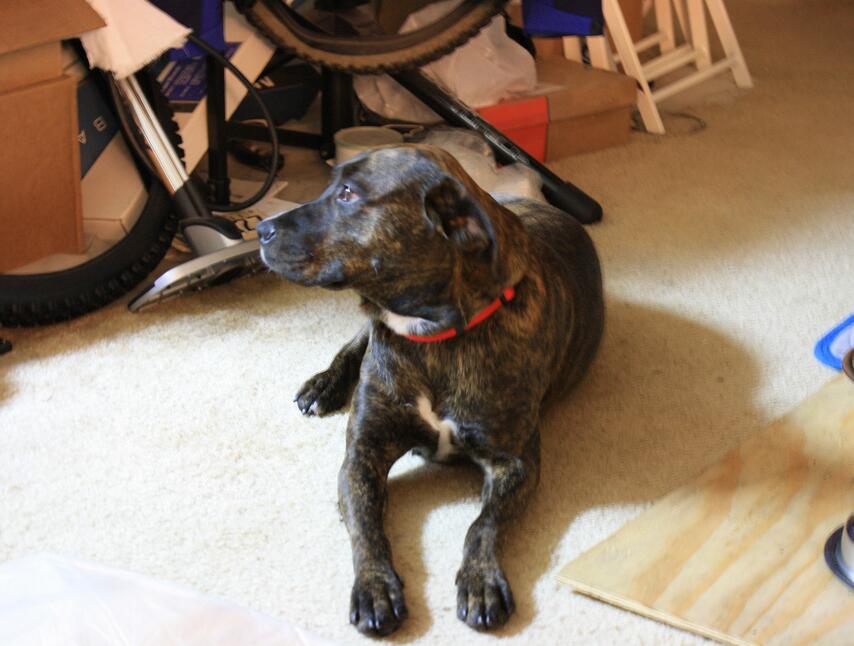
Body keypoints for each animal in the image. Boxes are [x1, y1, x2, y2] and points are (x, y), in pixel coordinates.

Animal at [257, 144, 603, 636]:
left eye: (348, 193)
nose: (260, 229)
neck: (432, 338)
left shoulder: (515, 465)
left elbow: (482, 526)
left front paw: (480, 580)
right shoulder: (361, 458)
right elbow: (367, 530)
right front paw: (375, 586)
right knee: (356, 340)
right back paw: (324, 384)